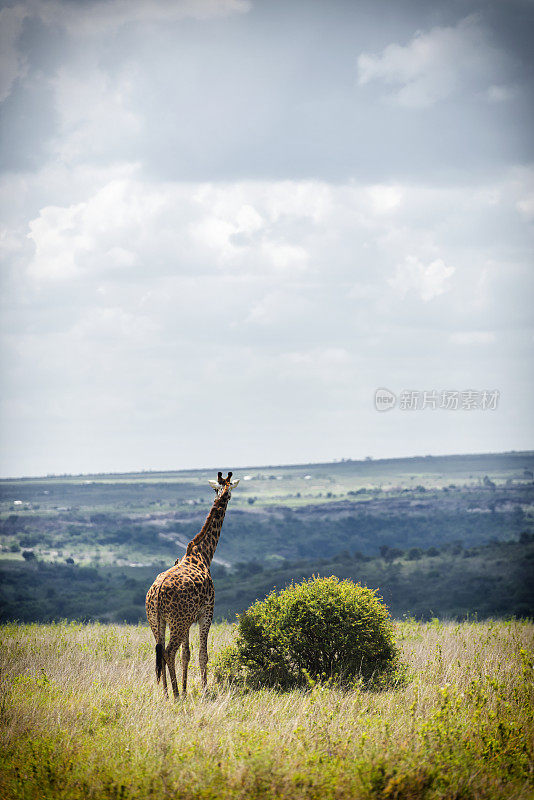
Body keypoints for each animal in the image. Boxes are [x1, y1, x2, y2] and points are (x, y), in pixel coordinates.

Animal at [146, 472, 240, 696]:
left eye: (220, 489)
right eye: (227, 491)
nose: (226, 497)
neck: (204, 554)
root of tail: (157, 592)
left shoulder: (189, 619)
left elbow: (186, 654)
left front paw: (187, 689)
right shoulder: (206, 612)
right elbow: (202, 654)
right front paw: (204, 691)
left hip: (157, 620)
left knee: (160, 651)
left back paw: (166, 693)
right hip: (177, 621)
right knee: (168, 652)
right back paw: (175, 695)